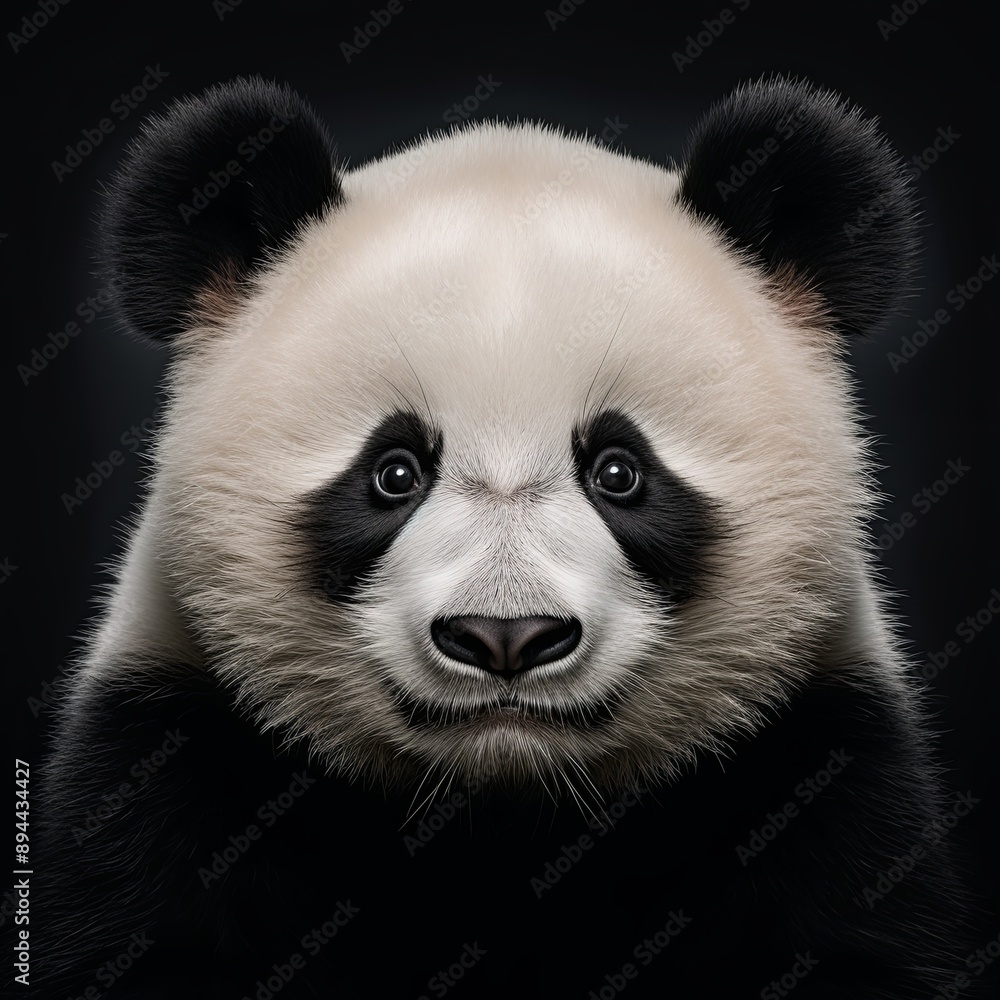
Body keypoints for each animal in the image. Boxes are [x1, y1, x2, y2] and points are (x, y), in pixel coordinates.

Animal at [36, 76, 975, 999]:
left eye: (619, 471)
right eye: (395, 472)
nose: (506, 637)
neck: (504, 809)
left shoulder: (820, 767)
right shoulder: (168, 759)